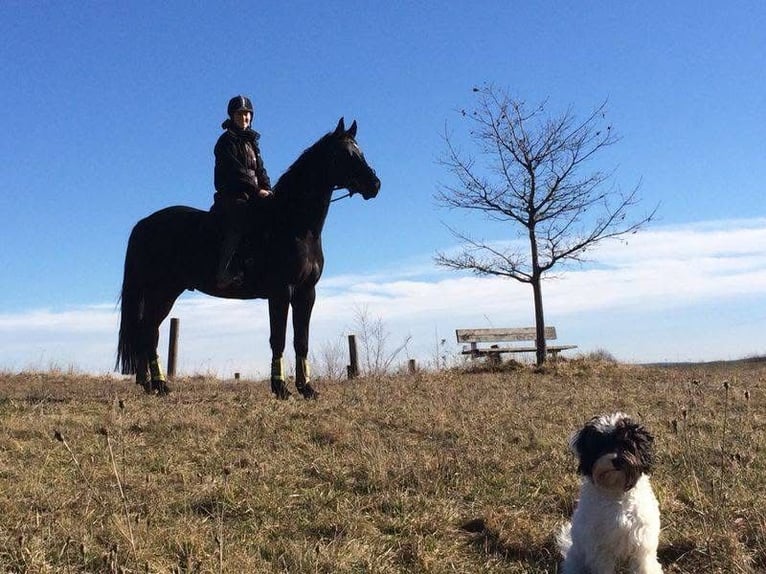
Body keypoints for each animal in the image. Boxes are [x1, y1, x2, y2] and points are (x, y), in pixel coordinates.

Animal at [116, 118, 380, 399]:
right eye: (344, 154)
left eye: (360, 151)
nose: (375, 185)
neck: (292, 223)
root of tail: (144, 224)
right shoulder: (280, 291)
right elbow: (278, 338)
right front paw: (280, 387)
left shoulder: (306, 292)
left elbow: (301, 340)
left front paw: (307, 388)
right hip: (163, 291)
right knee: (149, 331)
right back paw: (160, 385)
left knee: (148, 331)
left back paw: (152, 384)